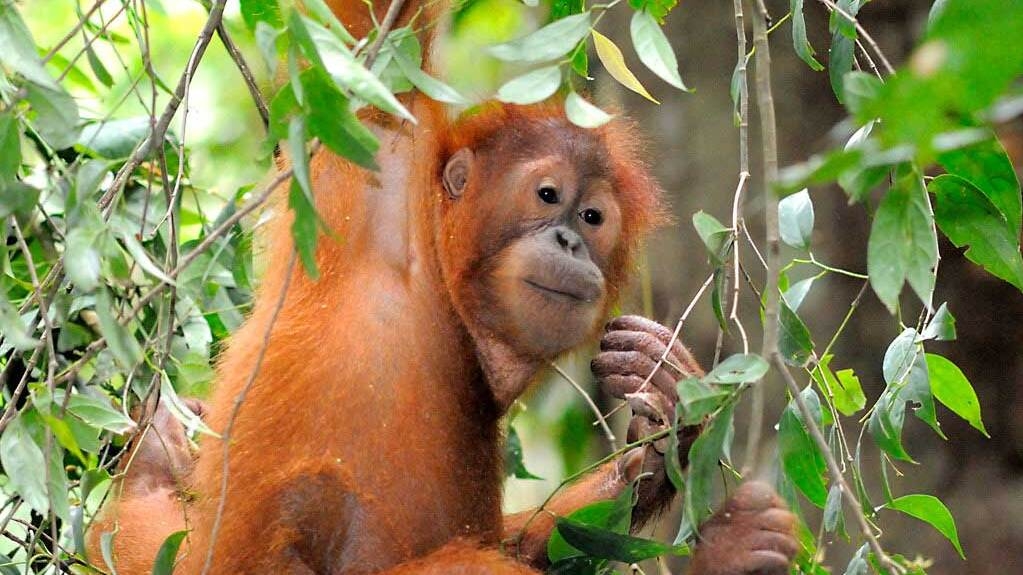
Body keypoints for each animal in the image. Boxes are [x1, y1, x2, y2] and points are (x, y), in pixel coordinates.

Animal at [88, 2, 799, 573]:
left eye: (593, 218)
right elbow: (367, 32)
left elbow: (545, 540)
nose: (570, 242)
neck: (442, 286)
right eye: (548, 195)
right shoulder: (380, 159)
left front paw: (667, 403)